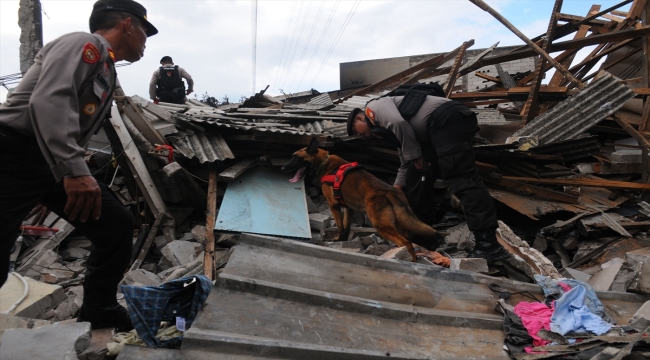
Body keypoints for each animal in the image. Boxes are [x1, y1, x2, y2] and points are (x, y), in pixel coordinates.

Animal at [282, 138, 446, 262]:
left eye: (295, 157)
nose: (283, 168)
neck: (325, 162)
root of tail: (391, 191)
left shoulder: (333, 205)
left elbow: (340, 226)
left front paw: (336, 239)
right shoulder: (349, 208)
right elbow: (346, 227)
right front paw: (342, 241)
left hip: (380, 224)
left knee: (406, 242)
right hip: (397, 223)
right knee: (406, 239)